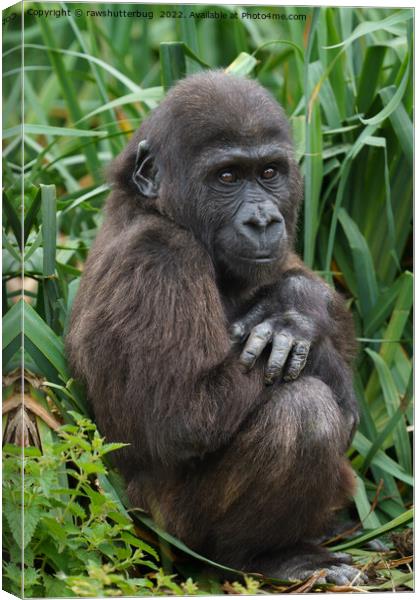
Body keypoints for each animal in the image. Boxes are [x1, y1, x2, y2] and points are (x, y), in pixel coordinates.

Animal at [67, 70, 362, 584]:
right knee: (303, 412)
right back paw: (267, 556)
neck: (157, 208)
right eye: (227, 177)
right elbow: (183, 415)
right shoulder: (161, 257)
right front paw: (294, 325)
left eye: (269, 173)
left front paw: (297, 307)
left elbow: (324, 309)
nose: (262, 219)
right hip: (164, 535)